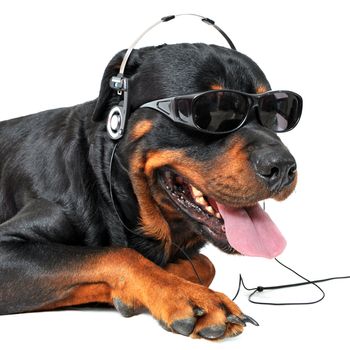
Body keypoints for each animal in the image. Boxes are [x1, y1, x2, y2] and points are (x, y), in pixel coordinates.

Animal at [0, 43, 300, 340]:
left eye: (276, 113)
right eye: (216, 112)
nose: (283, 166)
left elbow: (205, 263)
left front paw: (176, 272)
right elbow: (118, 254)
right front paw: (189, 295)